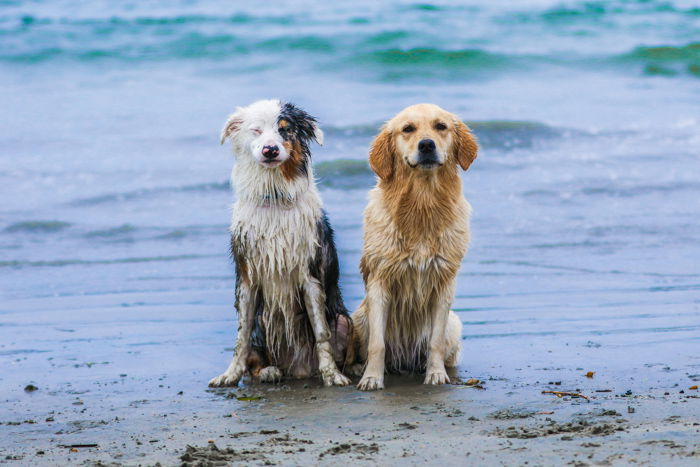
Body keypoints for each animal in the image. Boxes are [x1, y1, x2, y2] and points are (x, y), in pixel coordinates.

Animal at [206, 99, 350, 388]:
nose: (270, 149)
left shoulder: (310, 273)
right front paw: (230, 374)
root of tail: (299, 370)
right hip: (263, 320)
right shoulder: (247, 276)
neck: (274, 196)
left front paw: (332, 374)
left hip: (344, 320)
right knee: (256, 354)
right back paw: (268, 371)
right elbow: (242, 335)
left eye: (285, 129)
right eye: (256, 130)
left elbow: (322, 333)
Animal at [352, 103, 478, 392]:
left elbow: (435, 342)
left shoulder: (443, 281)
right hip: (359, 317)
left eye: (440, 126)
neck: (422, 202)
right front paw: (372, 378)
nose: (427, 144)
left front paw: (436, 374)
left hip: (454, 323)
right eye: (408, 129)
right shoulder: (379, 280)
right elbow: (377, 344)